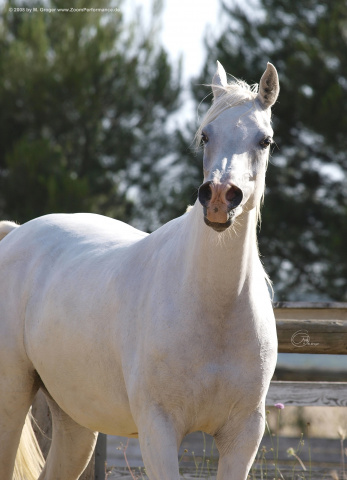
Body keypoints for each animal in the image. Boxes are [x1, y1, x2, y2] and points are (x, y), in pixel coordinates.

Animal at [0, 62, 280, 478]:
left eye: (264, 140)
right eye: (205, 135)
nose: (219, 198)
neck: (216, 310)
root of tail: (15, 233)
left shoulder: (243, 435)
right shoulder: (158, 428)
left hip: (74, 419)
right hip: (12, 396)